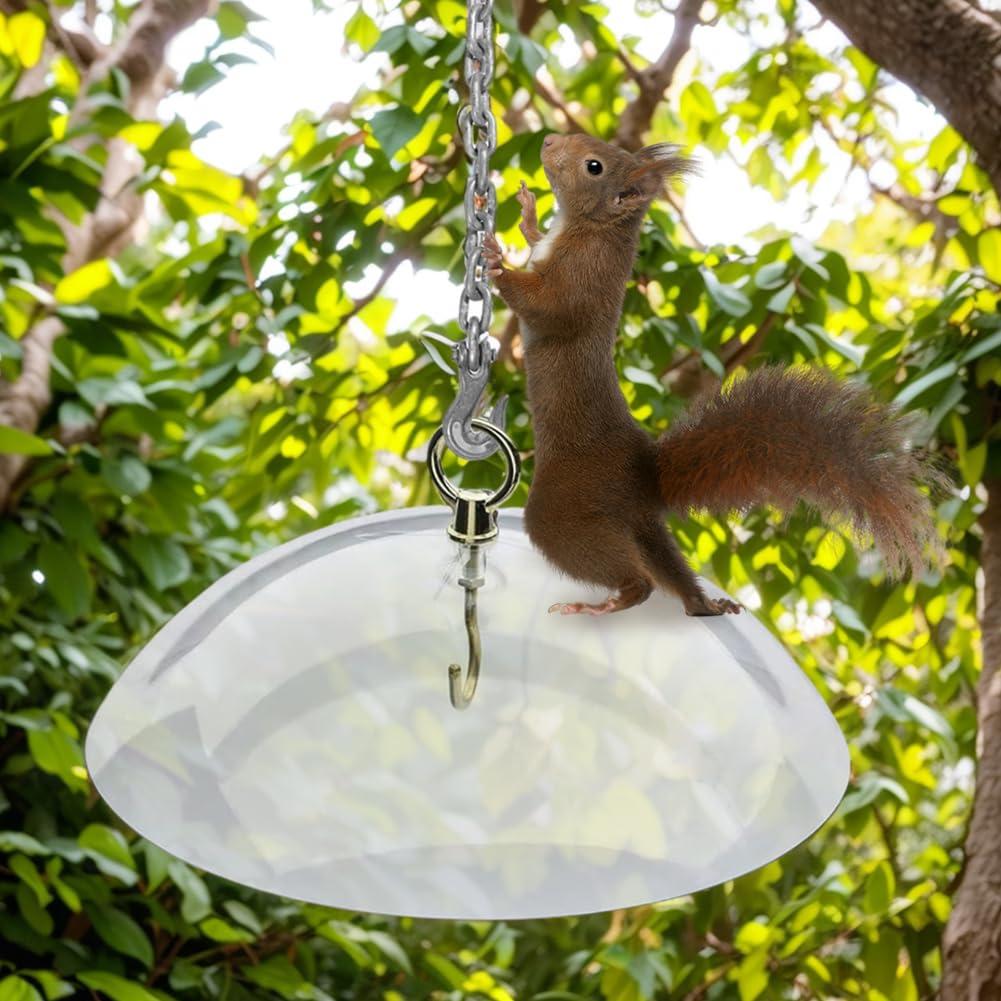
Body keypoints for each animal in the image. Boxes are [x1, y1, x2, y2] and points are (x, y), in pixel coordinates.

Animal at [482, 132, 941, 617]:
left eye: (594, 165)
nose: (550, 140)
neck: (593, 227)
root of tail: (647, 475)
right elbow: (536, 243)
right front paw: (529, 213)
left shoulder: (583, 278)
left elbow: (548, 308)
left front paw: (495, 259)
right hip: (638, 524)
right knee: (671, 571)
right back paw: (706, 605)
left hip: (568, 505)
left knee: (637, 579)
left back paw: (603, 604)